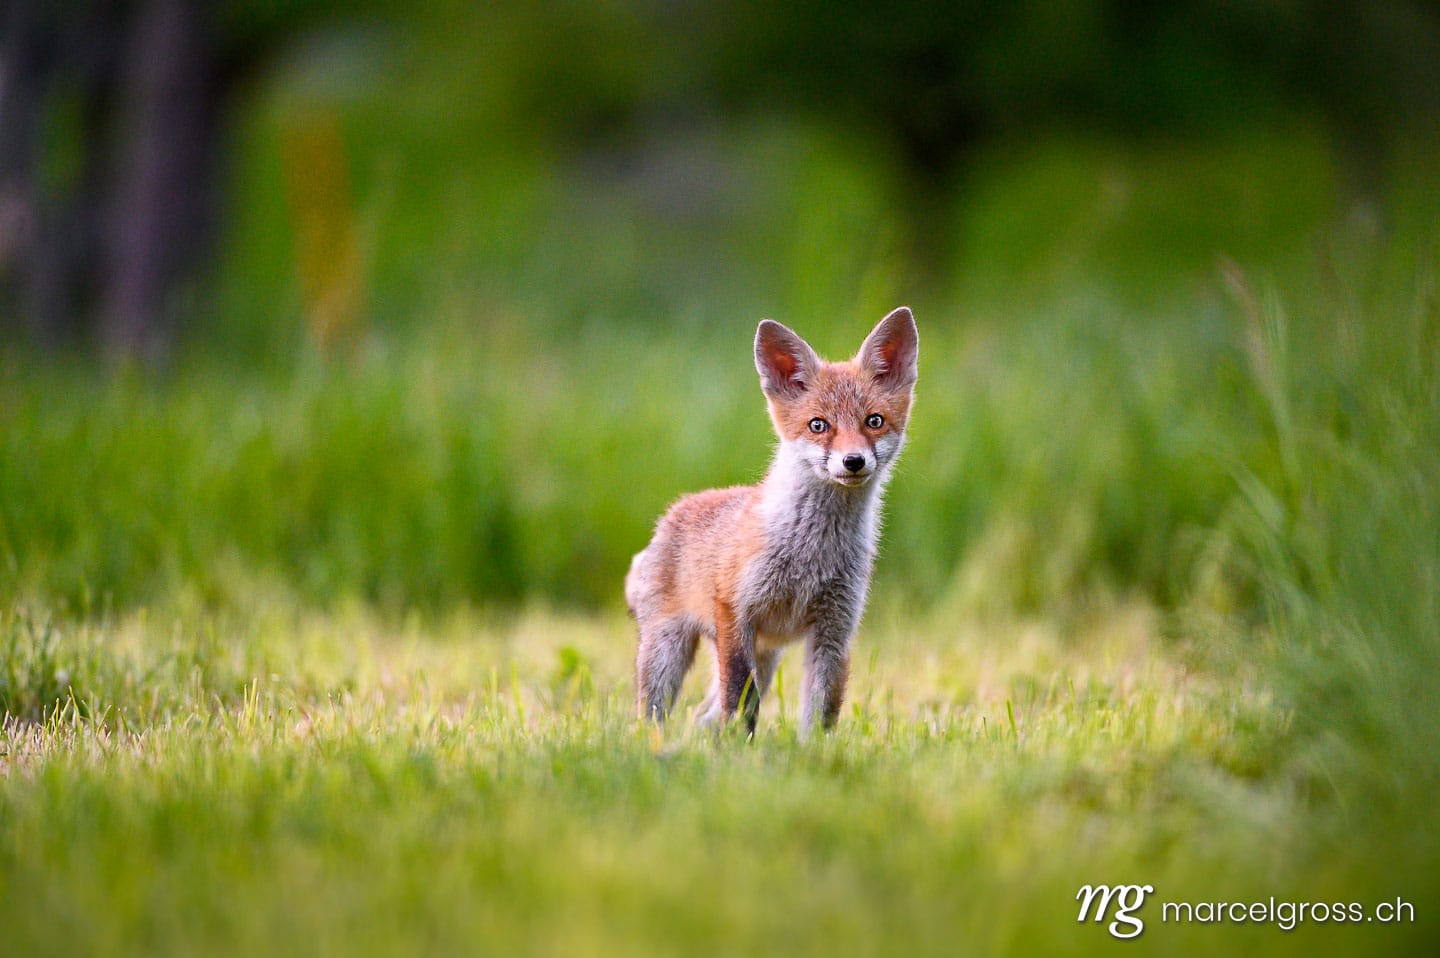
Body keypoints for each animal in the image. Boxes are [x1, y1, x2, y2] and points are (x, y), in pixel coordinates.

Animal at [625, 306, 919, 734]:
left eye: (874, 421)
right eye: (818, 425)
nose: (853, 461)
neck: (811, 553)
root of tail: (670, 515)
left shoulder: (836, 628)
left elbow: (821, 710)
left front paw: (811, 751)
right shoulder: (736, 612)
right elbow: (741, 700)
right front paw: (741, 746)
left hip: (765, 656)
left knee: (701, 717)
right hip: (668, 650)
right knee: (654, 713)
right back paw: (655, 743)